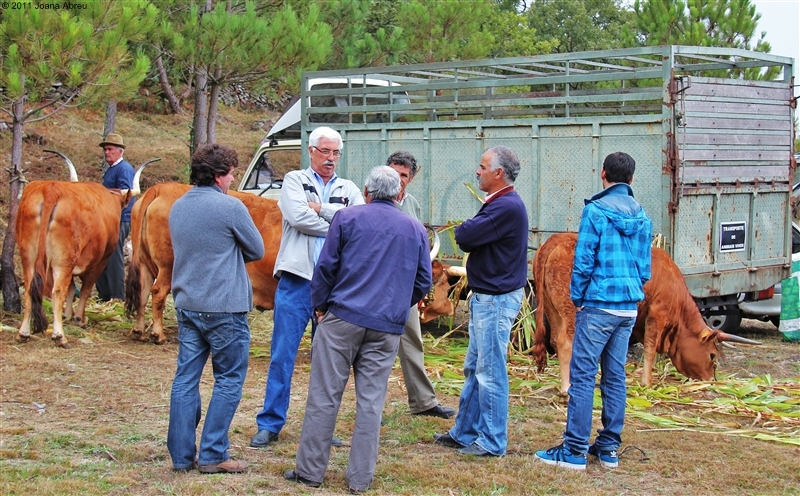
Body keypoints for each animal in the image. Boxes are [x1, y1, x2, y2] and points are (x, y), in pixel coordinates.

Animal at [16, 180, 136, 346]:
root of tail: (52, 188)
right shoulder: (100, 262)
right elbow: (85, 290)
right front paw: (79, 318)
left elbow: (72, 289)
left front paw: (67, 315)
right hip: (64, 261)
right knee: (57, 291)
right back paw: (60, 336)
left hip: (29, 258)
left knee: (30, 289)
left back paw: (23, 333)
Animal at [126, 184, 284, 342]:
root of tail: (161, 187)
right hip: (167, 266)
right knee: (158, 292)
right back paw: (158, 333)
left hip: (143, 262)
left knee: (142, 292)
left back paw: (139, 330)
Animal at [536, 233, 760, 396]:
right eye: (712, 355)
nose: (710, 381)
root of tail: (555, 240)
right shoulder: (657, 314)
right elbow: (650, 350)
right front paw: (647, 383)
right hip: (571, 309)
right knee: (565, 342)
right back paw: (567, 388)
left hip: (553, 309)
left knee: (555, 339)